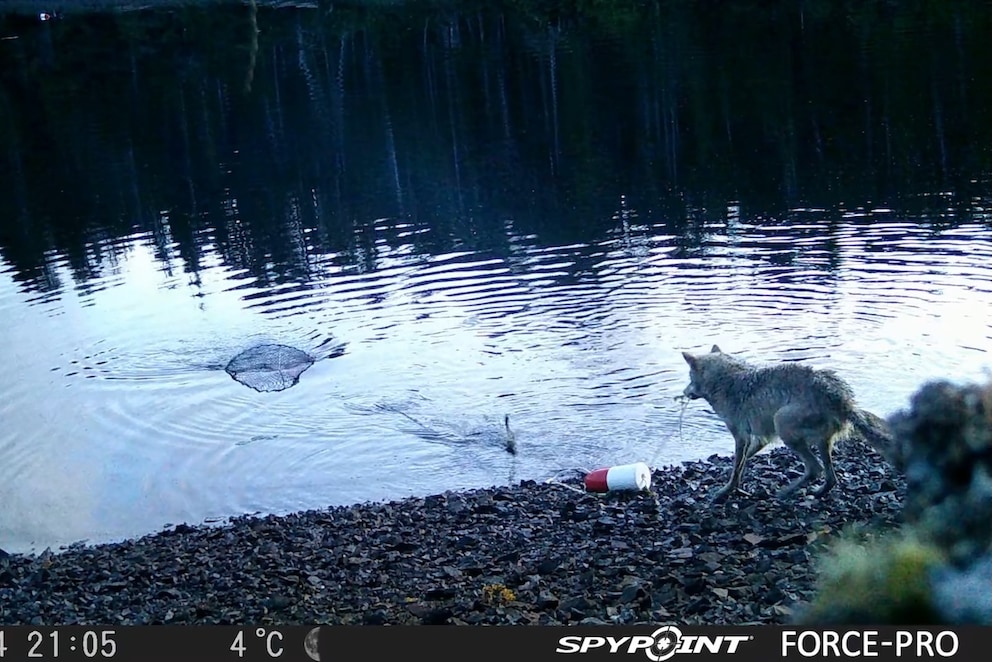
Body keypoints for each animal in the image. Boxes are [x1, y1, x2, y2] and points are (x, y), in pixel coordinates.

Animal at [681, 345, 899, 502]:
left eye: (689, 377)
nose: (683, 392)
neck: (725, 380)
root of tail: (842, 399)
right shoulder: (762, 438)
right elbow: (742, 461)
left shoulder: (741, 436)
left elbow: (737, 467)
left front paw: (725, 491)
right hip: (820, 441)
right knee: (830, 477)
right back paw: (815, 493)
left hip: (782, 423)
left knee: (815, 469)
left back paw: (785, 493)